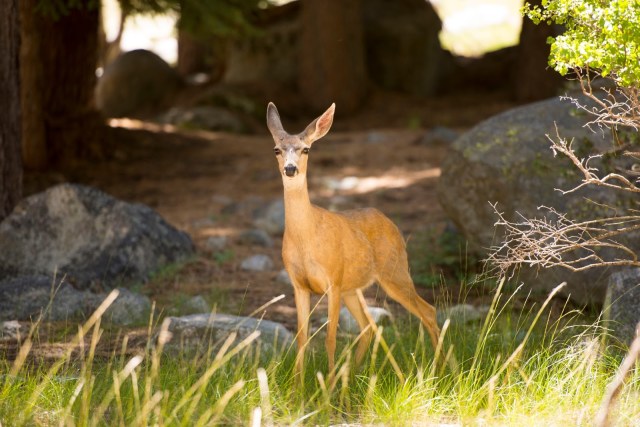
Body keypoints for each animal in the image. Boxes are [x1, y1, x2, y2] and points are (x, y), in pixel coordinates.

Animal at [266, 102, 441, 380]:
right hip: (354, 287)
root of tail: (391, 223)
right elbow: (302, 338)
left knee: (428, 311)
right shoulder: (299, 284)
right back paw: (356, 375)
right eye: (276, 149)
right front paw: (297, 387)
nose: (290, 169)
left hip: (395, 271)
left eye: (306, 149)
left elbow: (330, 338)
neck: (307, 239)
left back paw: (442, 370)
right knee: (369, 326)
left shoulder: (333, 279)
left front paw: (327, 387)